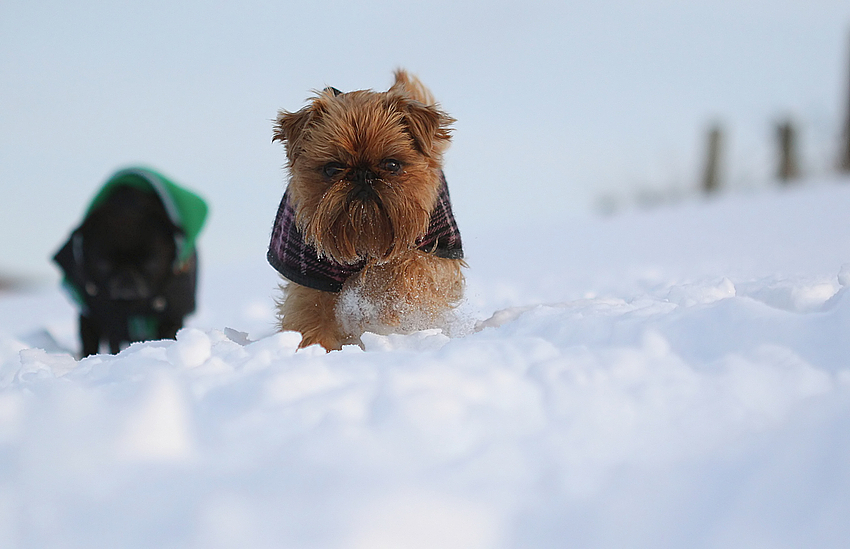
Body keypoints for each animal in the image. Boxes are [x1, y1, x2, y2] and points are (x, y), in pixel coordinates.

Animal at [54, 167, 205, 356]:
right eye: (103, 265)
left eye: (151, 263)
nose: (127, 278)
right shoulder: (95, 316)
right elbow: (93, 342)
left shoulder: (171, 316)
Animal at [264, 70, 464, 348]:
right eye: (332, 169)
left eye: (392, 164)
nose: (362, 175)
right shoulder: (309, 278)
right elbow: (311, 314)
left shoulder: (438, 249)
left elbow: (411, 265)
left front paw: (378, 302)